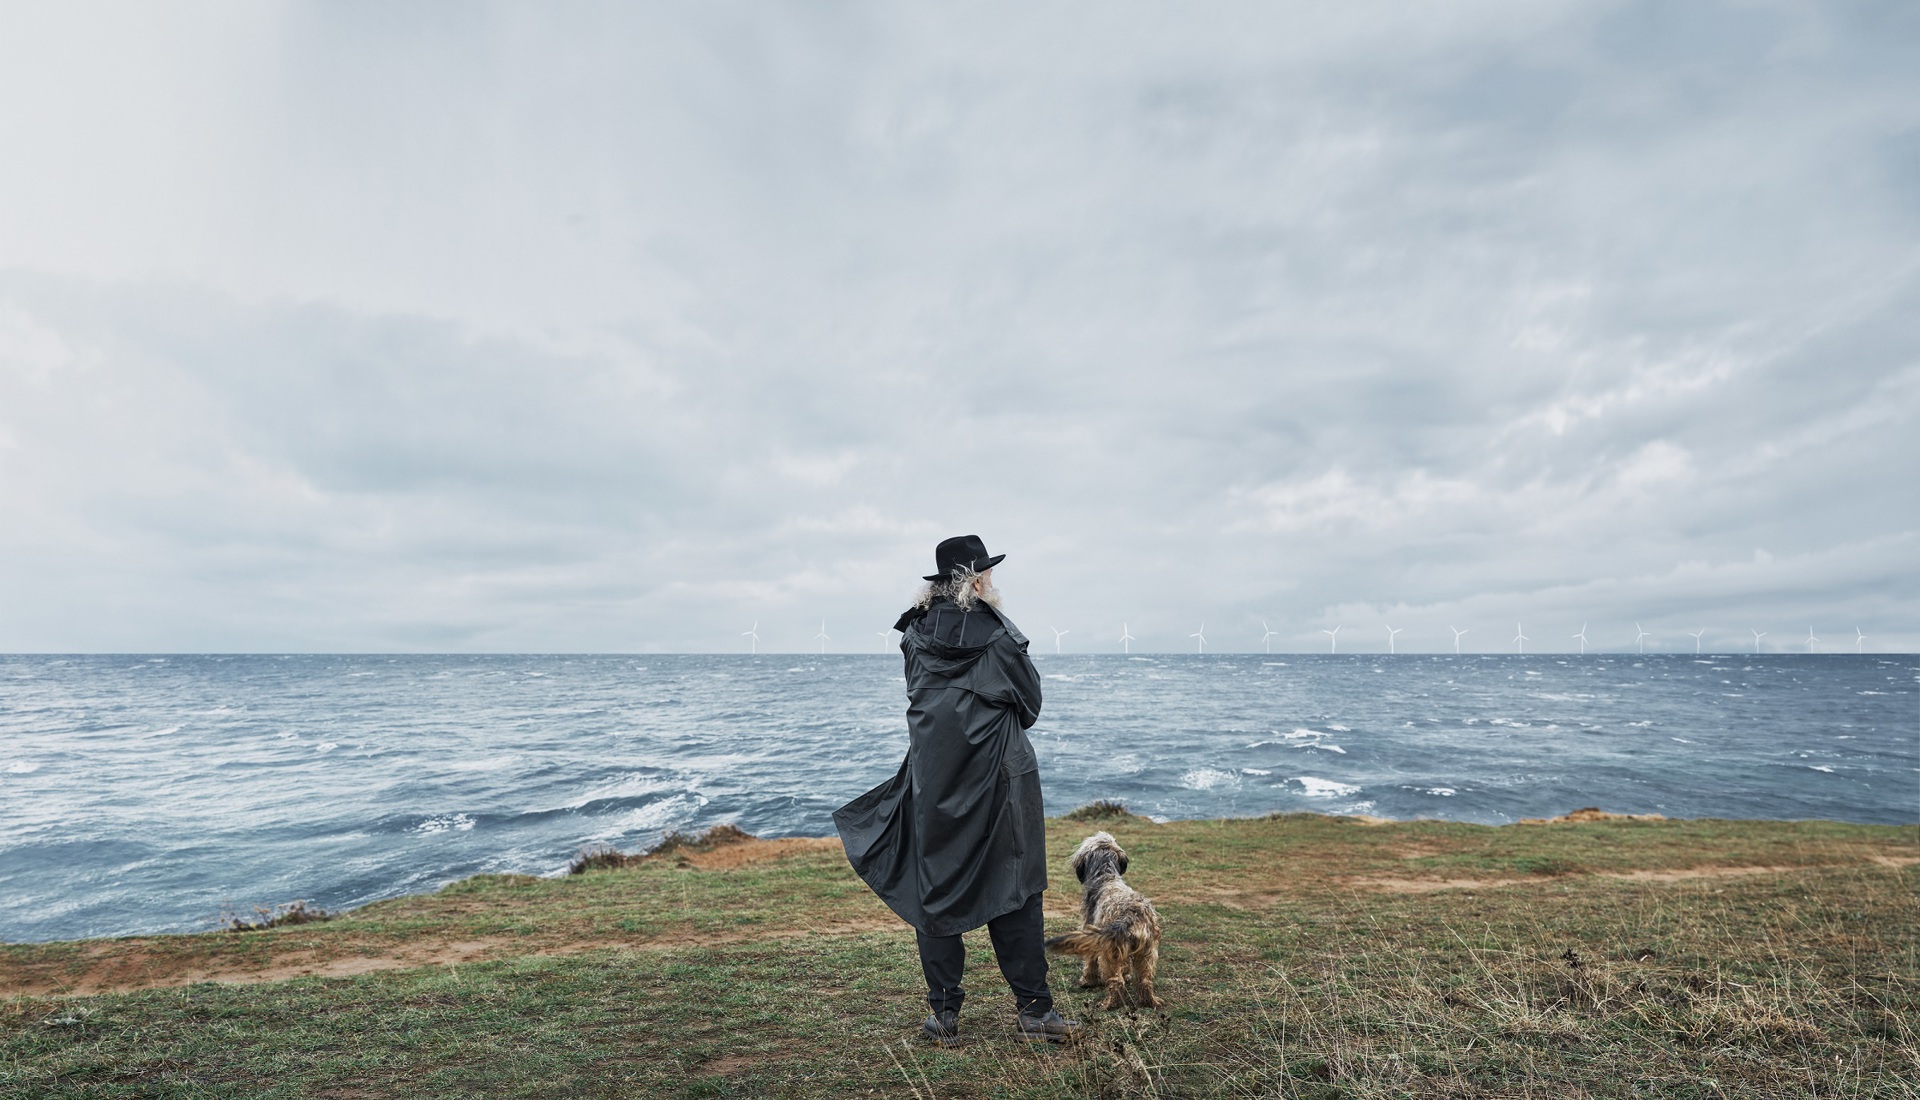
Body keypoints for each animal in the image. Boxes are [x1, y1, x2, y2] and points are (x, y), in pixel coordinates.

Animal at [1044, 833, 1159, 1005]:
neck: (1106, 874)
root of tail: (1131, 916)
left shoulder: (1090, 931)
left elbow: (1090, 961)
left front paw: (1087, 981)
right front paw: (1127, 974)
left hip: (1109, 951)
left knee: (1116, 981)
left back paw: (1109, 1004)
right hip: (1147, 951)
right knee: (1145, 979)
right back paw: (1149, 1001)